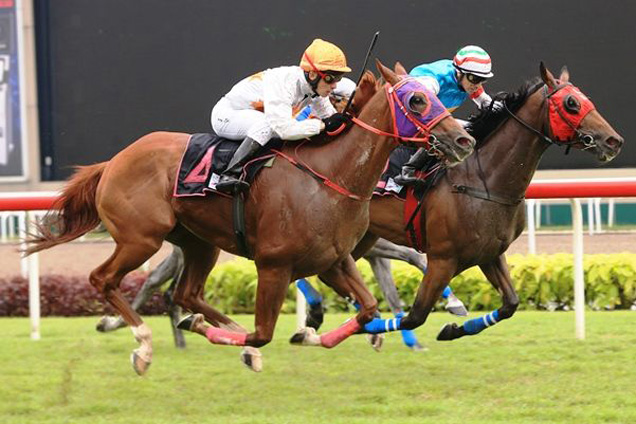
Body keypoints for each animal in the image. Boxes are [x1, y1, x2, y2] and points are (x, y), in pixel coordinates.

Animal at [28, 60, 476, 374]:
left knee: (187, 294)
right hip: (140, 238)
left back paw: (207, 330)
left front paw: (307, 334)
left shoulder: (332, 260)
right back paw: (144, 344)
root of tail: (113, 161)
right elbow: (263, 333)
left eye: (438, 97)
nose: (463, 139)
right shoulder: (274, 265)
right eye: (417, 100)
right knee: (104, 279)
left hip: (198, 242)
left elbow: (367, 309)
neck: (330, 174)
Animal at [292, 63, 620, 348]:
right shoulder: (442, 258)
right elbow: (413, 316)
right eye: (571, 104)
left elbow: (510, 304)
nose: (613, 141)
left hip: (361, 239)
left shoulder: (490, 253)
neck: (484, 180)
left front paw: (452, 329)